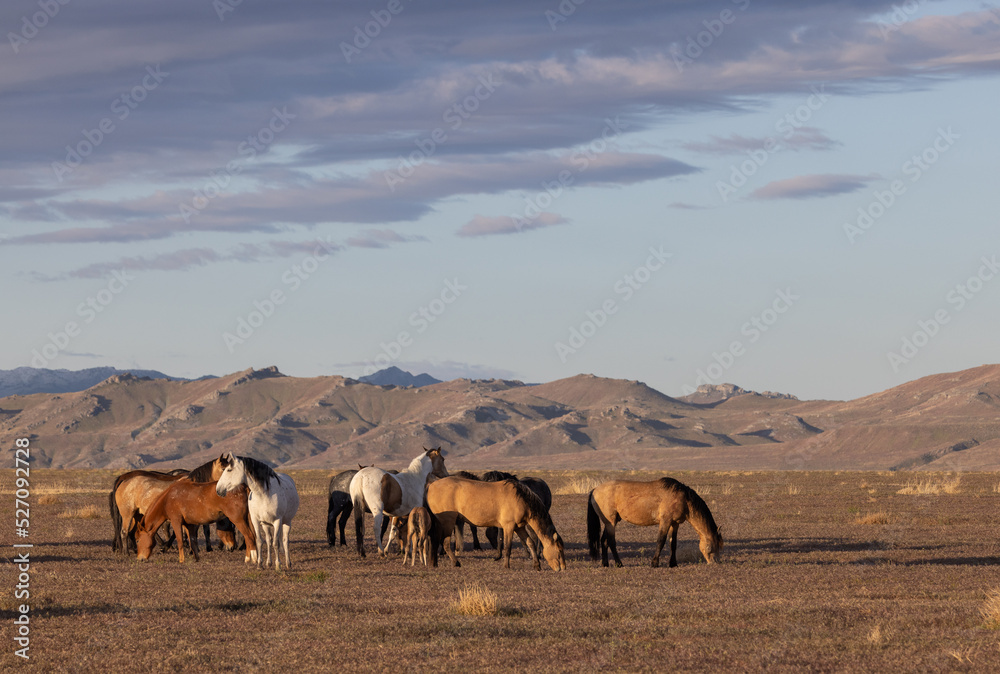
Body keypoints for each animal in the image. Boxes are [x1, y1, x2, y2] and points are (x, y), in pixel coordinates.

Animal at [424, 476, 568, 568]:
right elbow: (508, 547)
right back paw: (456, 563)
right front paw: (506, 566)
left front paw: (536, 565)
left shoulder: (519, 528)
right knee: (445, 543)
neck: (520, 499)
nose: (562, 568)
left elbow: (530, 543)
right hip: (448, 521)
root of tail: (432, 485)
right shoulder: (508, 527)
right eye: (559, 550)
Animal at [584, 476, 724, 564]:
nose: (715, 562)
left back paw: (605, 563)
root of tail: (595, 490)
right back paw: (619, 564)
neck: (683, 499)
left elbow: (673, 543)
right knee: (611, 542)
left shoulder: (674, 524)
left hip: (609, 523)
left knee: (604, 541)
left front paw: (673, 563)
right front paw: (654, 563)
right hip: (611, 523)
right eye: (713, 545)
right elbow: (660, 541)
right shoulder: (665, 521)